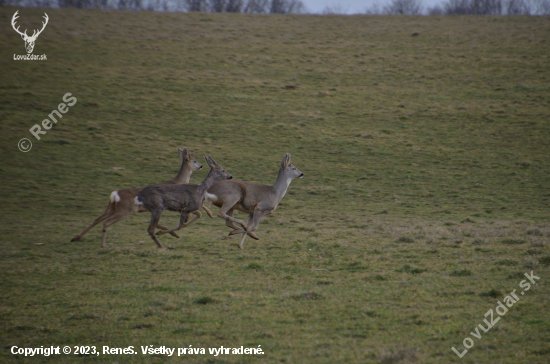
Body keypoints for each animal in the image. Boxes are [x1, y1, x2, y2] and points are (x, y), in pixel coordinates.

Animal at [71, 148, 205, 247]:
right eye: (194, 160)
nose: (201, 166)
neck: (178, 181)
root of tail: (115, 194)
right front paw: (174, 231)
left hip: (111, 208)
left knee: (96, 219)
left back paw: (76, 238)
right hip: (124, 210)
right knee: (106, 222)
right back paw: (103, 244)